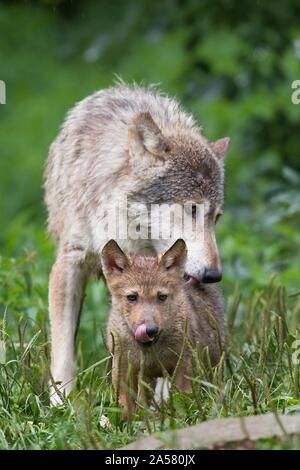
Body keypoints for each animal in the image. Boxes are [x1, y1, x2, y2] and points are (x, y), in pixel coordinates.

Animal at [44, 82, 230, 402]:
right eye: (192, 209)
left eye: (215, 217)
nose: (213, 275)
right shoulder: (70, 261)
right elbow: (63, 348)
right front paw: (60, 402)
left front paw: (164, 401)